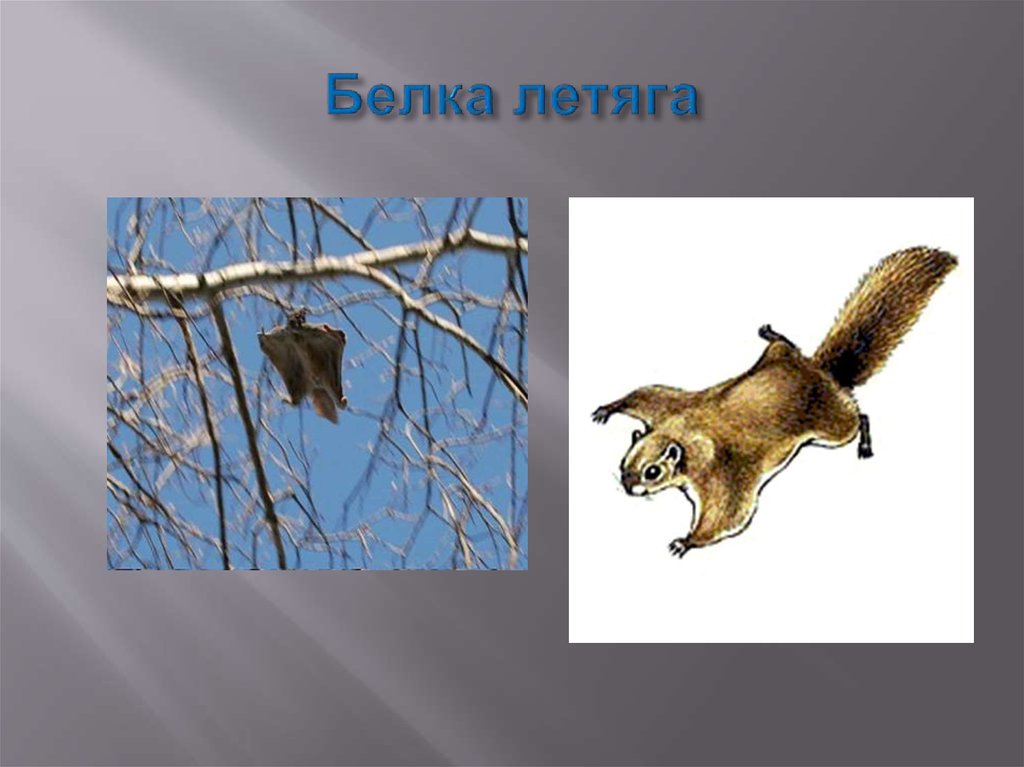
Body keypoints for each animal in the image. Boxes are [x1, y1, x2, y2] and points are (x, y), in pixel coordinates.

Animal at [591, 247, 957, 558]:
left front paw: (686, 540)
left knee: (859, 417)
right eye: (624, 464)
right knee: (786, 346)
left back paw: (865, 446)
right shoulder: (672, 408)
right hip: (777, 357)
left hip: (832, 426)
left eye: (652, 472)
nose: (628, 487)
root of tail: (821, 372)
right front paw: (606, 408)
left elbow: (729, 514)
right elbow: (647, 394)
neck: (686, 431)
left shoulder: (722, 472)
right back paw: (770, 333)